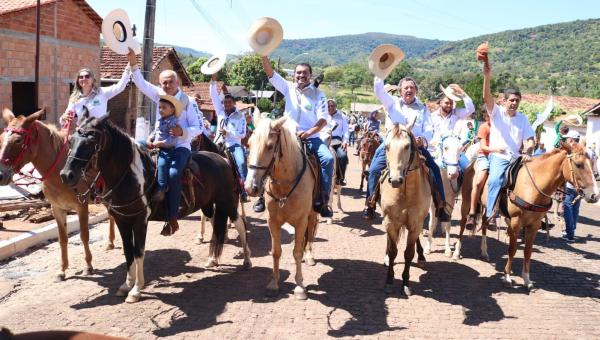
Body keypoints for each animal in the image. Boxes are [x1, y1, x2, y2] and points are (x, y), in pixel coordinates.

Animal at [0, 109, 116, 282]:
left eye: (18, 140)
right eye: (1, 138)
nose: (1, 175)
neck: (59, 173)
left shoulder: (81, 206)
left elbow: (84, 235)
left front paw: (88, 265)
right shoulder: (57, 208)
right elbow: (62, 239)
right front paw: (62, 270)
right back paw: (110, 242)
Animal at [59, 117, 251, 302]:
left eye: (90, 142)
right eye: (71, 141)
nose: (66, 175)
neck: (130, 176)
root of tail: (223, 160)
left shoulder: (139, 221)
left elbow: (138, 252)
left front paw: (136, 290)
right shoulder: (122, 221)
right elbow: (128, 252)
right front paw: (126, 285)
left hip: (227, 202)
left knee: (240, 224)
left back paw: (247, 260)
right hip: (208, 206)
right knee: (216, 228)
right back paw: (212, 259)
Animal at [244, 117, 318, 300]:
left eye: (270, 146)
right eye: (248, 144)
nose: (250, 188)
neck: (286, 183)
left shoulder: (301, 221)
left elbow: (297, 251)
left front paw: (299, 286)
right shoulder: (273, 222)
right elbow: (276, 251)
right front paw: (273, 283)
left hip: (312, 215)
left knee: (310, 234)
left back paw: (309, 256)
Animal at [380, 121, 432, 294]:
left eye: (407, 146)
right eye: (386, 146)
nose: (396, 180)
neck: (405, 192)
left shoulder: (416, 224)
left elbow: (408, 253)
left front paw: (405, 282)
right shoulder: (390, 222)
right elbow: (393, 251)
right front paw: (389, 281)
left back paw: (421, 257)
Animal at [464, 142, 596, 288]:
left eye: (592, 162)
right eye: (578, 164)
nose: (594, 195)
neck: (533, 187)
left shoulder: (534, 225)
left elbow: (528, 251)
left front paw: (527, 279)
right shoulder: (516, 222)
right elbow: (512, 249)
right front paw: (507, 276)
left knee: (484, 224)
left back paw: (484, 252)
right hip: (468, 201)